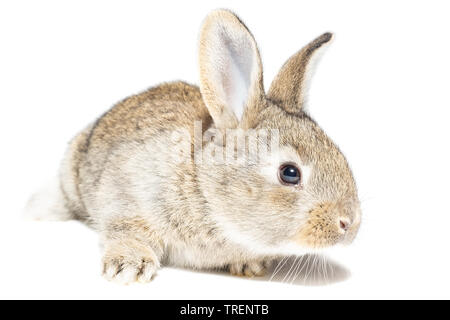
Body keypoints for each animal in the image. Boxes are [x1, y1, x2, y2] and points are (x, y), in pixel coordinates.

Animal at [26, 9, 360, 282]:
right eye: (289, 173)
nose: (350, 223)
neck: (205, 186)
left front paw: (249, 267)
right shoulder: (126, 196)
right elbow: (126, 228)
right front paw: (129, 267)